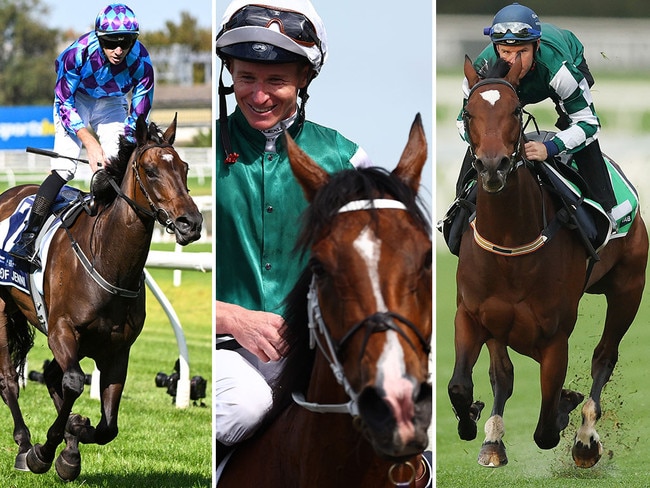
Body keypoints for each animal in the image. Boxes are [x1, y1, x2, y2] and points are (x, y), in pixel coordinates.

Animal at [0, 114, 200, 480]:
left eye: (185, 167)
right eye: (151, 170)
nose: (190, 223)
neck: (106, 258)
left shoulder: (117, 350)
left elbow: (108, 427)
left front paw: (72, 440)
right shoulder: (61, 331)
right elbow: (75, 382)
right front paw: (45, 451)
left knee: (54, 377)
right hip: (4, 310)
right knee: (10, 381)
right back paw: (24, 446)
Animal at [448, 56, 644, 468]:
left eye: (515, 110)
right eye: (469, 112)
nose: (492, 166)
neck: (511, 243)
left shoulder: (555, 336)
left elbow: (546, 430)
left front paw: (568, 409)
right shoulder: (472, 315)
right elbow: (462, 384)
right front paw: (474, 422)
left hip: (629, 289)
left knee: (604, 357)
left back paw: (585, 438)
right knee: (502, 372)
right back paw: (493, 437)